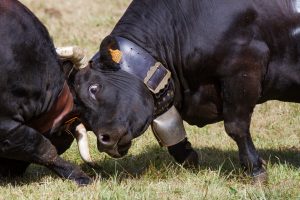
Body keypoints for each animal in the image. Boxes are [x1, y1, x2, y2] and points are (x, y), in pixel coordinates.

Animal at [88, 0, 300, 183]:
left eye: (94, 88)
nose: (104, 141)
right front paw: (188, 157)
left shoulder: (243, 69)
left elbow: (236, 127)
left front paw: (255, 169)